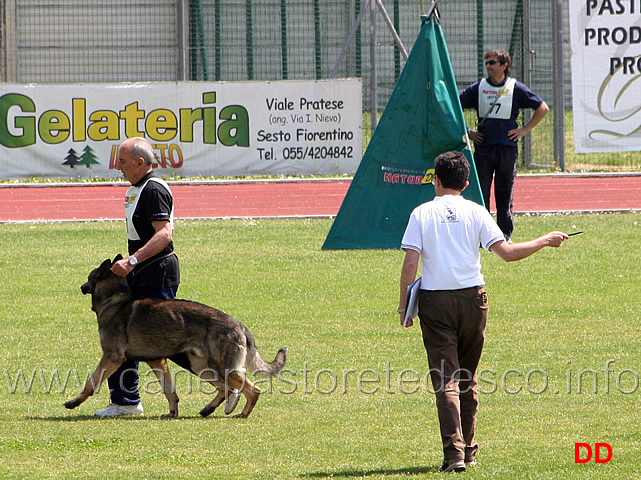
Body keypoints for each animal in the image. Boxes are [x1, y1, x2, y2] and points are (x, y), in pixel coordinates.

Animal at [64, 256, 284, 418]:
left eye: (89, 277)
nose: (81, 286)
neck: (115, 298)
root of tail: (240, 325)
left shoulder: (112, 357)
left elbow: (92, 382)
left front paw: (74, 402)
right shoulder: (157, 361)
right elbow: (169, 390)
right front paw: (172, 413)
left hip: (222, 367)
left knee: (252, 388)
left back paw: (242, 414)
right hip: (200, 366)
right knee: (225, 388)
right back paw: (209, 409)